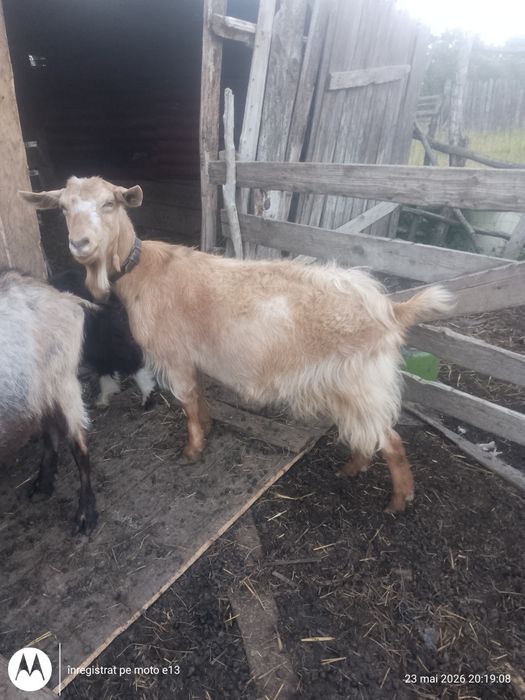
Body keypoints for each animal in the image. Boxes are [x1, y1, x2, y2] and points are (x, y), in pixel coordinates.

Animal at [0, 268, 98, 534]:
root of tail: (65, 299)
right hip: (38, 387)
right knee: (50, 428)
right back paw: (43, 485)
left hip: (61, 378)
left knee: (78, 441)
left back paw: (85, 514)